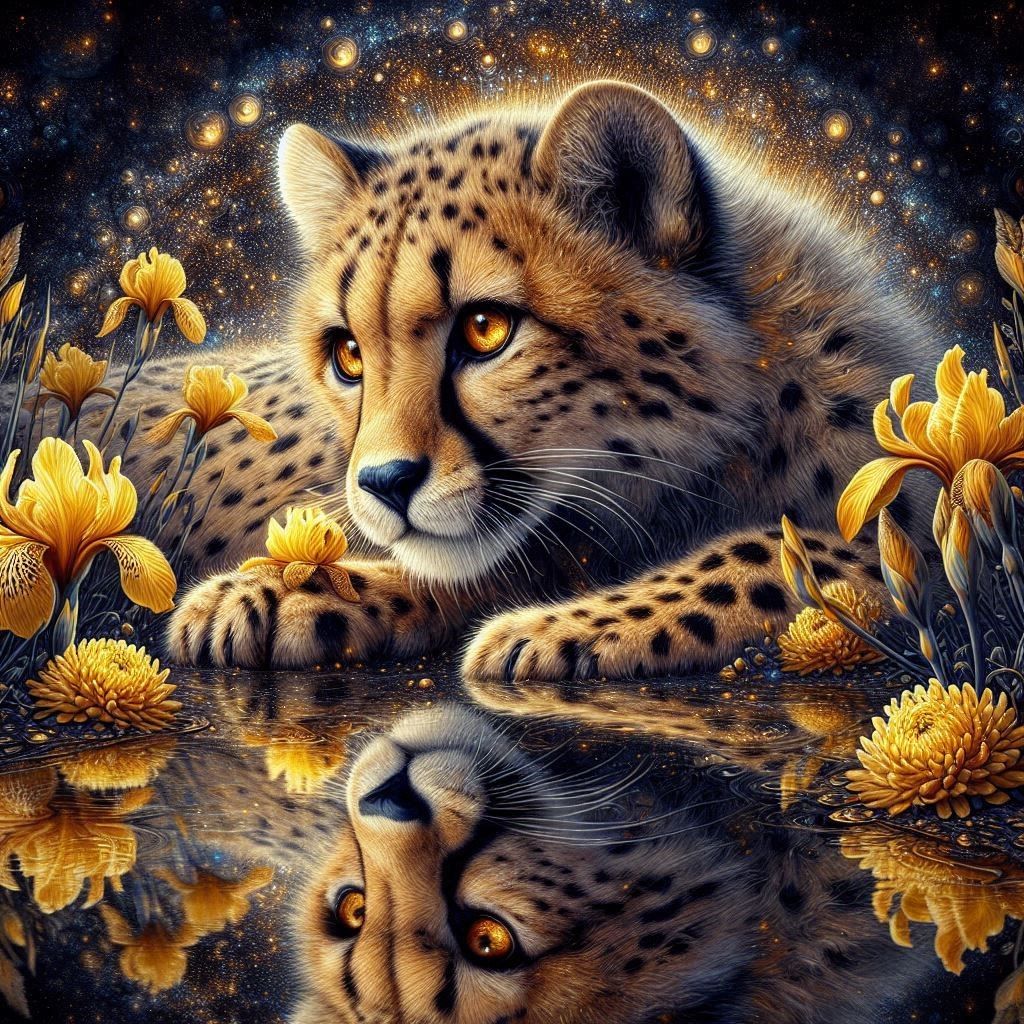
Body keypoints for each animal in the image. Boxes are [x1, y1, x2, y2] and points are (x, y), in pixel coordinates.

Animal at [134, 79, 943, 679]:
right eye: (349, 355)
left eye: (486, 329)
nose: (383, 484)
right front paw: (284, 588)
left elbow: (778, 553)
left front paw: (560, 630)